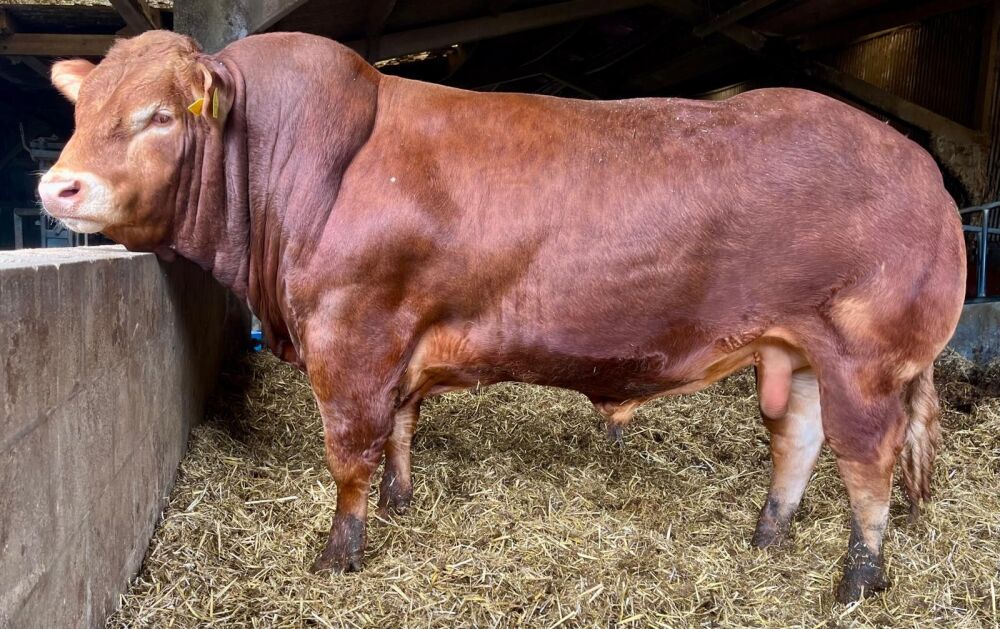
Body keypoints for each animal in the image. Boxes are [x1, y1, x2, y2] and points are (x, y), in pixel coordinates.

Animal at [38, 30, 966, 603]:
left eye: (161, 115)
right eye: (81, 112)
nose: (57, 186)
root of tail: (919, 166)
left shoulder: (350, 334)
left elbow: (349, 453)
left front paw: (339, 552)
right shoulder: (398, 340)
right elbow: (402, 425)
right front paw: (402, 501)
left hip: (865, 359)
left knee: (868, 464)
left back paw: (857, 578)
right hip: (796, 348)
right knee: (798, 439)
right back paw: (768, 537)